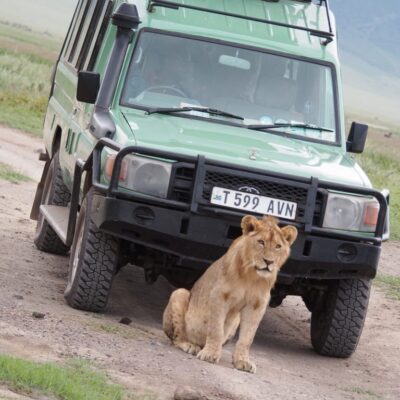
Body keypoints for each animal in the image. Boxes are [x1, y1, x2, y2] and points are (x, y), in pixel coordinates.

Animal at [162, 214, 296, 374]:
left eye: (278, 246)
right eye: (261, 242)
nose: (269, 262)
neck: (252, 275)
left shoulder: (257, 305)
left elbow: (247, 338)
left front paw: (242, 361)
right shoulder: (219, 296)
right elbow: (216, 329)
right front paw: (210, 354)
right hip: (179, 293)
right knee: (176, 338)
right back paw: (190, 346)